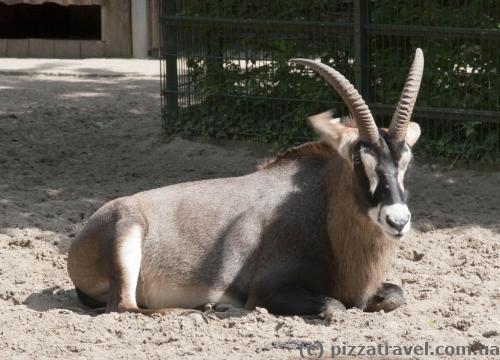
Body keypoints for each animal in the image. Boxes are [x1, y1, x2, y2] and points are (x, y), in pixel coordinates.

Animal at [67, 48, 422, 320]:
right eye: (359, 161)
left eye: (406, 160)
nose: (398, 220)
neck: (320, 203)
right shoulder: (266, 290)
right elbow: (336, 306)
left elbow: (396, 294)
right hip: (127, 237)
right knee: (123, 307)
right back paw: (196, 311)